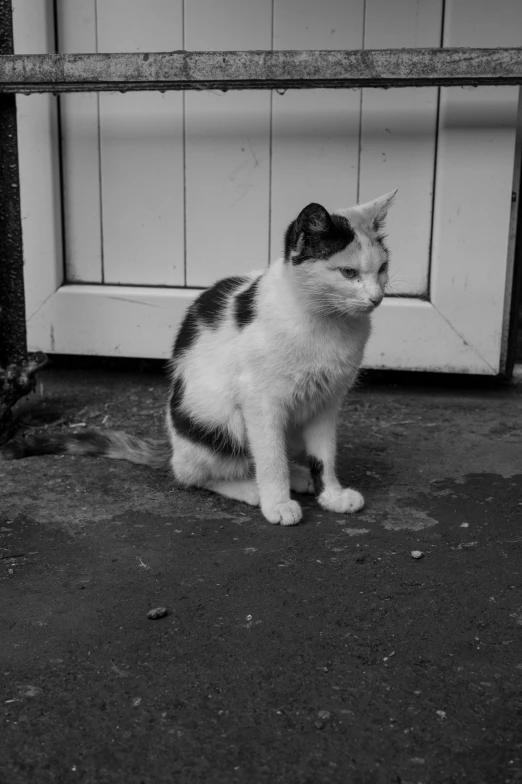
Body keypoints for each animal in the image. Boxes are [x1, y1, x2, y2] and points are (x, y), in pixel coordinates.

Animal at [3, 191, 394, 528]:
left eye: (382, 269)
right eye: (348, 273)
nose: (377, 298)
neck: (326, 324)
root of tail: (173, 447)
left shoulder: (327, 401)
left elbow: (323, 456)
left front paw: (332, 496)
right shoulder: (260, 400)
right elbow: (269, 458)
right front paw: (277, 503)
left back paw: (298, 475)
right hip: (214, 420)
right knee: (196, 474)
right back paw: (251, 488)